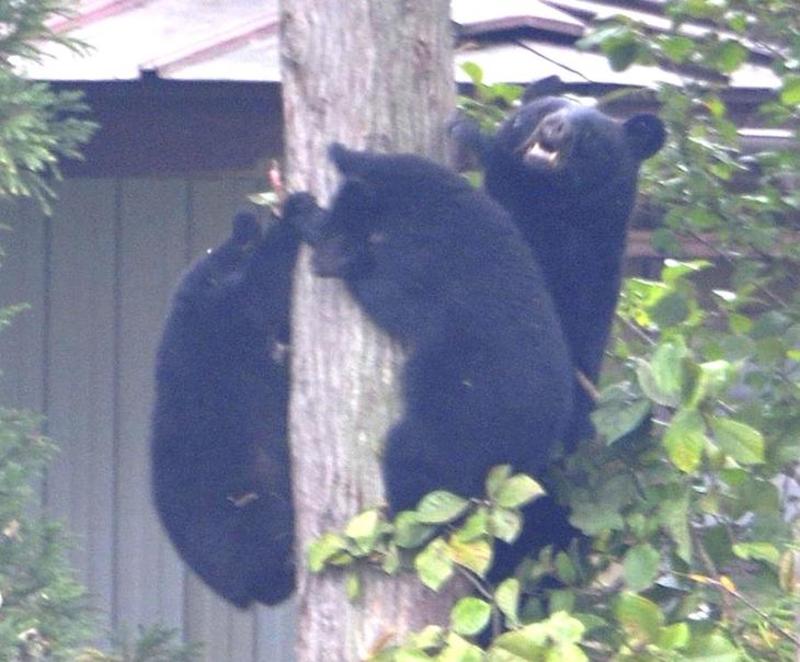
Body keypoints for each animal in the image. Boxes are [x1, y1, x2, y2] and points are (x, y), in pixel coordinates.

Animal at [283, 144, 574, 579]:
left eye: (341, 231)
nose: (318, 265)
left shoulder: (422, 259)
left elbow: (390, 296)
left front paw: (310, 221)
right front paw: (305, 202)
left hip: (456, 418)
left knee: (412, 457)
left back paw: (394, 526)